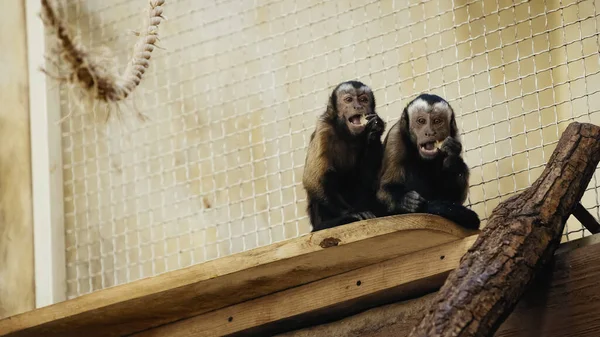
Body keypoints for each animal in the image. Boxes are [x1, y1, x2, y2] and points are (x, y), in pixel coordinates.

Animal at [304, 80, 384, 231]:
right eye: (348, 100)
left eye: (363, 99)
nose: (358, 106)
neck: (347, 135)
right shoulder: (324, 129)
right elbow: (313, 180)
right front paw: (350, 213)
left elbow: (368, 179)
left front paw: (375, 130)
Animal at [378, 92, 480, 228]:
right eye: (421, 121)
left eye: (437, 121)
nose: (430, 132)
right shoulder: (395, 138)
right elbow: (383, 190)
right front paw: (405, 200)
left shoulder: (455, 137)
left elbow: (455, 198)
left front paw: (452, 157)